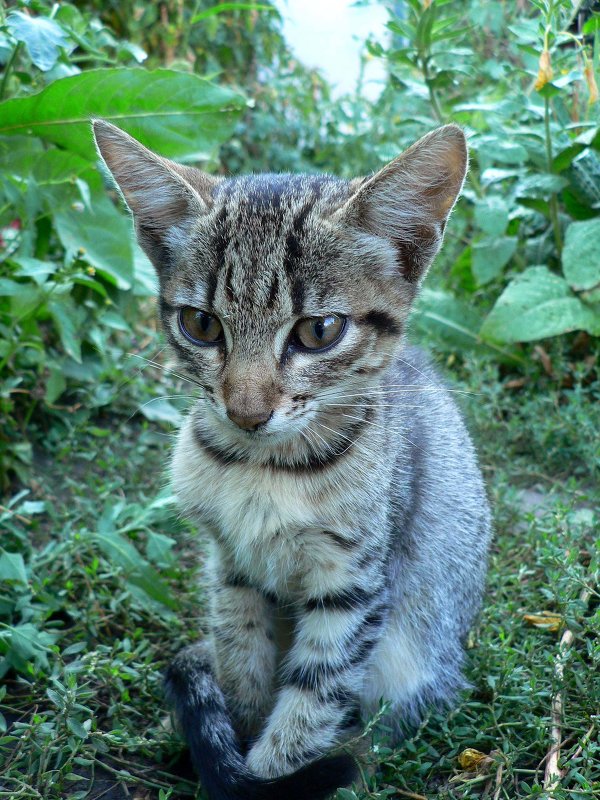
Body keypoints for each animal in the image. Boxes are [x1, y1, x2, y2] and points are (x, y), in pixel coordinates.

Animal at [92, 119, 492, 800]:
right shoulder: (232, 567)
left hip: (416, 661)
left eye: (318, 331)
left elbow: (313, 698)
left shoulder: (355, 584)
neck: (264, 468)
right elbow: (241, 665)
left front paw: (271, 772)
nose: (247, 411)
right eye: (201, 324)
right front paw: (236, 740)